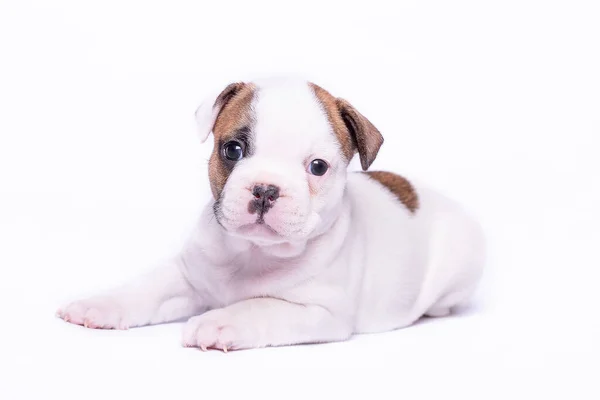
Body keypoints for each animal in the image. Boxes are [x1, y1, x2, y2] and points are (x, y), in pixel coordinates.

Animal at [56, 77, 486, 350]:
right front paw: (100, 305)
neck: (252, 251)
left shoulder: (317, 312)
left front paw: (219, 321)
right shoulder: (186, 276)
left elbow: (260, 306)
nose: (265, 189)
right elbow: (144, 288)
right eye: (232, 150)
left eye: (317, 167)